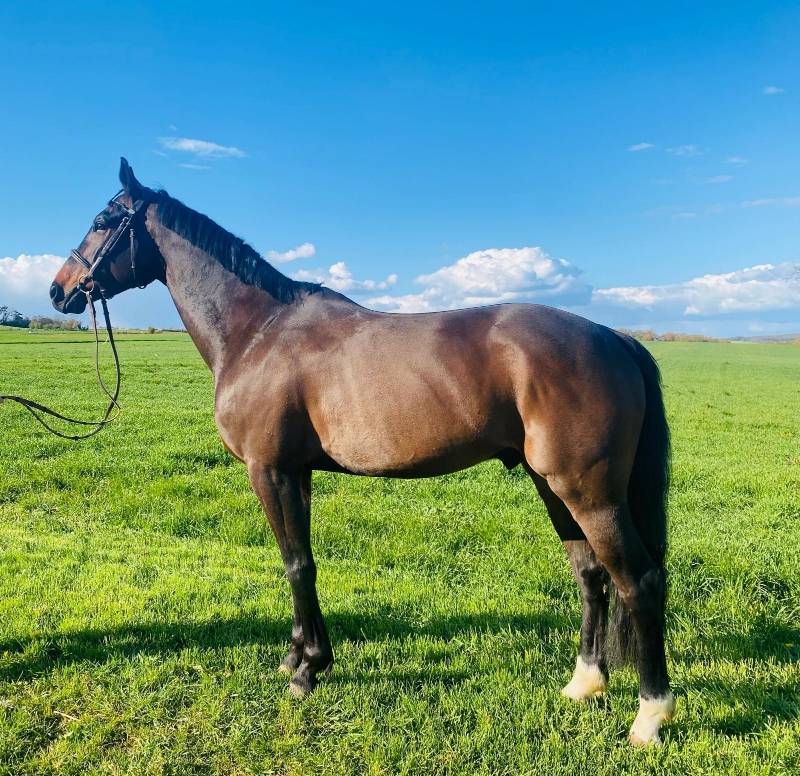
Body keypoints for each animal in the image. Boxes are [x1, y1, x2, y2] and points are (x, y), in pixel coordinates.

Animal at [50, 158, 675, 745]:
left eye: (102, 220)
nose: (58, 289)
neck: (259, 333)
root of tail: (614, 337)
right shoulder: (296, 471)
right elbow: (302, 562)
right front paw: (300, 657)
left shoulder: (269, 470)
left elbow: (296, 563)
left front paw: (306, 673)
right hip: (554, 486)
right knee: (591, 576)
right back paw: (585, 684)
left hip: (588, 492)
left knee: (638, 582)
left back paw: (650, 716)